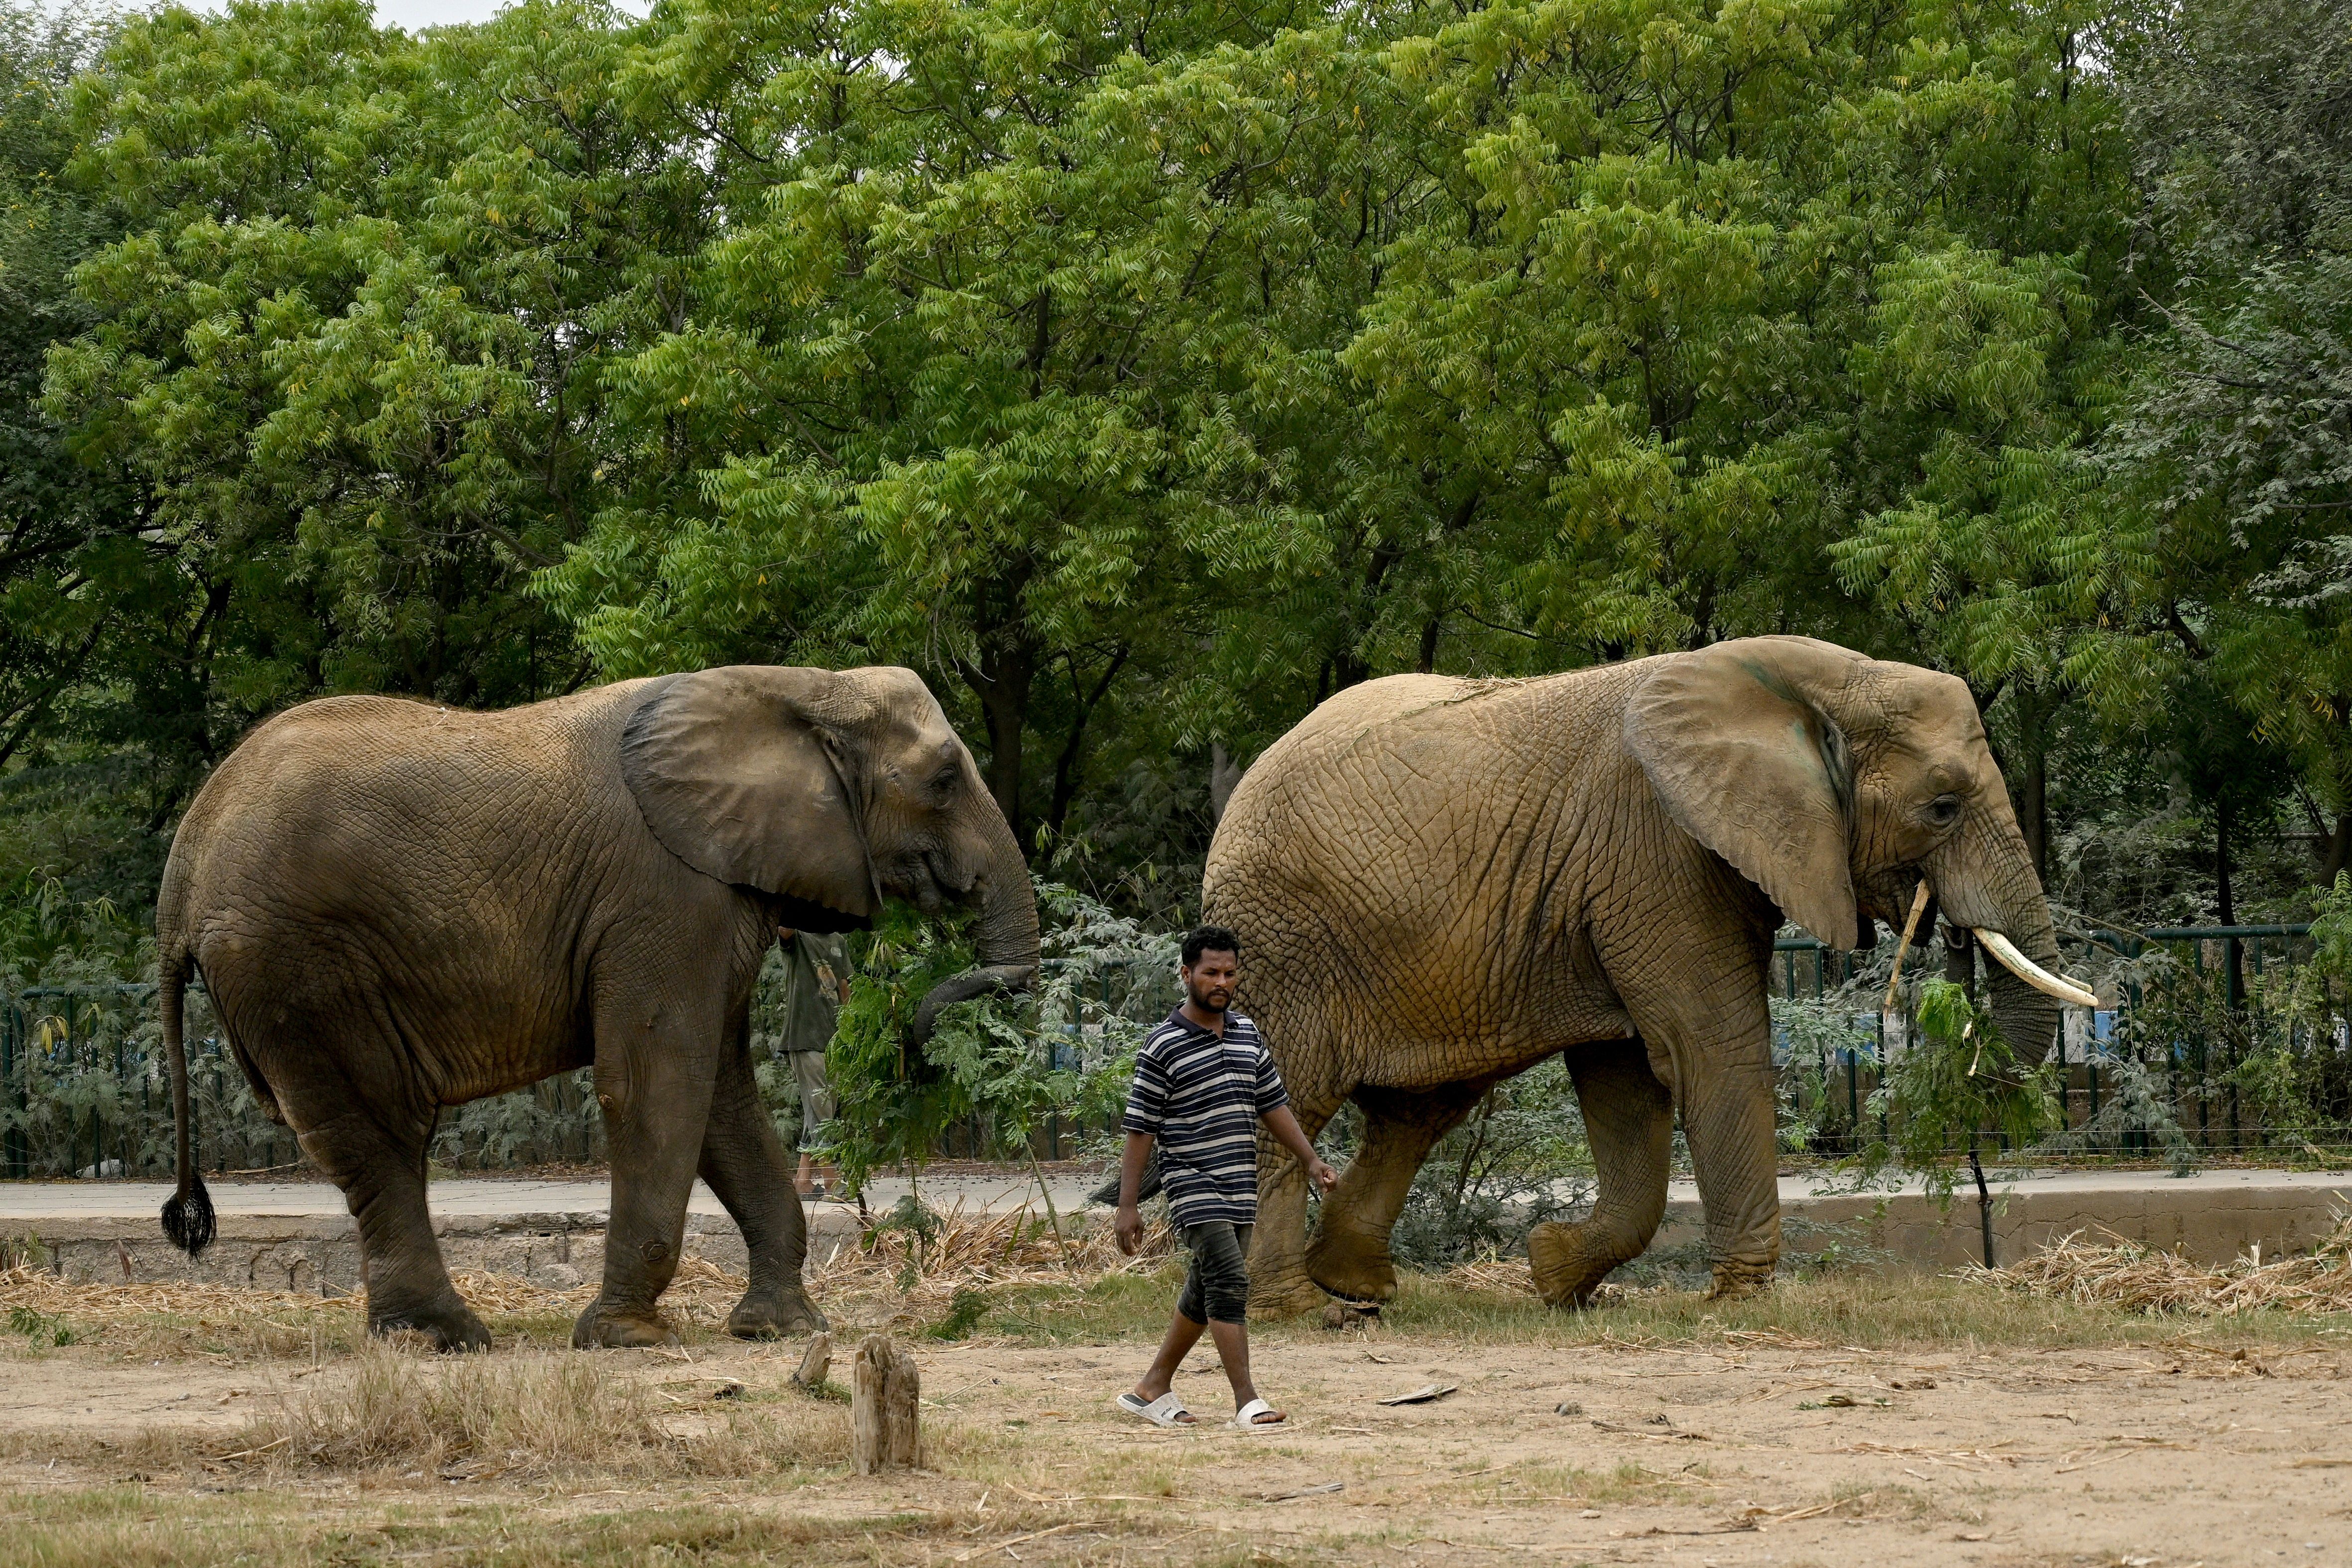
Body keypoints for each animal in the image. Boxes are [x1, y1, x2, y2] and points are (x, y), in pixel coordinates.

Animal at [153, 665, 1038, 1350]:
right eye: (945, 781)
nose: (917, 1045)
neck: (802, 688)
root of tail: (182, 870)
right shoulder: (666, 897)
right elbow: (657, 1084)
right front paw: (627, 1338)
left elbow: (721, 1098)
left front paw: (783, 1330)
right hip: (297, 962)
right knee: (383, 1132)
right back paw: (446, 1339)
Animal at [1202, 635, 2092, 1312]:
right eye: (1943, 807)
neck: (1823, 680)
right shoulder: (1657, 851)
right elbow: (1709, 1050)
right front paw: (1740, 1302)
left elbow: (1626, 1081)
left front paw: (1554, 1274)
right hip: (1285, 941)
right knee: (1296, 1102)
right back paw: (1298, 1309)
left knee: (1418, 1112)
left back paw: (1360, 1288)